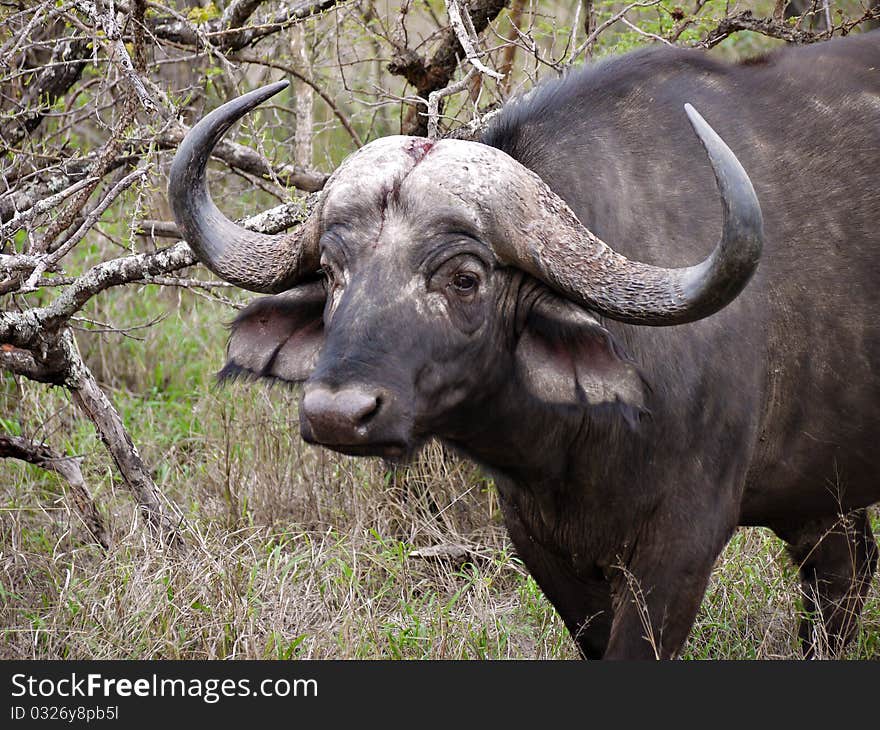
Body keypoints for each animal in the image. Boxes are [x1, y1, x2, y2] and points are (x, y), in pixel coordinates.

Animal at [170, 34, 880, 656]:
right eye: (332, 270)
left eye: (465, 276)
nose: (338, 415)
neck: (581, 441)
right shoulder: (538, 539)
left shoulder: (683, 543)